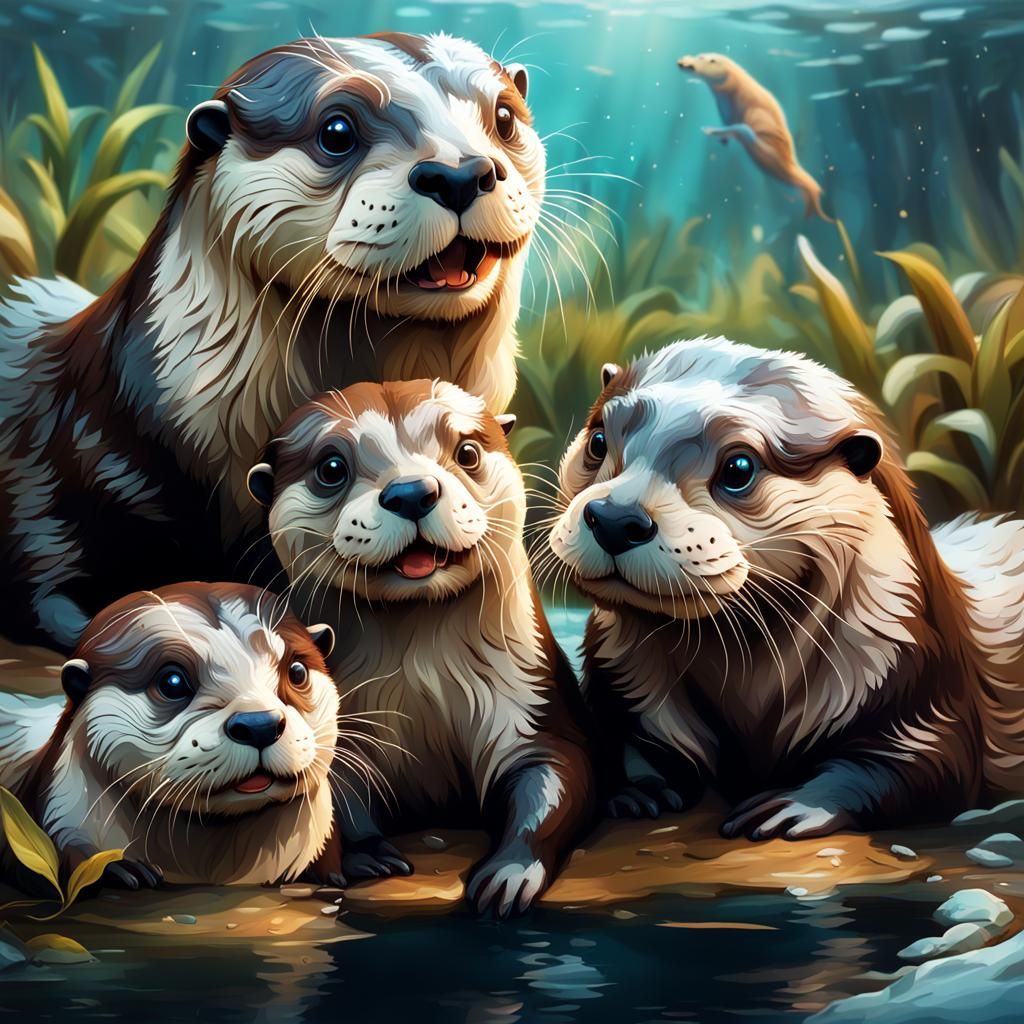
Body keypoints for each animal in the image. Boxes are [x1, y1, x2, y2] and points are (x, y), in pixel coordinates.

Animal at [247, 380, 594, 916]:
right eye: (331, 467)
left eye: (468, 451)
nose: (411, 491)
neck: (423, 693)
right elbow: (332, 791)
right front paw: (366, 855)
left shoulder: (529, 698)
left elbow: (555, 772)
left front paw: (509, 872)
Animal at [549, 337, 1024, 839]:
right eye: (599, 440)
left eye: (739, 467)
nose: (616, 518)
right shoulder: (620, 671)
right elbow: (618, 737)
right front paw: (636, 788)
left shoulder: (913, 669)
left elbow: (923, 764)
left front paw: (797, 803)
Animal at [678, 53, 833, 222]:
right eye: (698, 55)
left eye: (704, 58)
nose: (682, 62)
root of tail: (791, 163)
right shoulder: (724, 106)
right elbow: (729, 121)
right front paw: (723, 138)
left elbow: (739, 124)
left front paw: (712, 131)